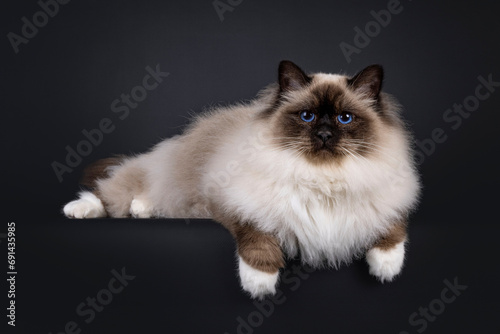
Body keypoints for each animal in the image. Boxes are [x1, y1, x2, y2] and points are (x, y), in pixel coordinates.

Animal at [63, 61, 422, 298]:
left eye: (344, 118)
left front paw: (386, 268)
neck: (321, 178)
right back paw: (78, 210)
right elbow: (258, 240)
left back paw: (143, 209)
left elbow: (393, 230)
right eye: (307, 116)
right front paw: (259, 284)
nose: (323, 135)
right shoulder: (241, 205)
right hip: (164, 179)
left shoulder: (388, 202)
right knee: (110, 191)